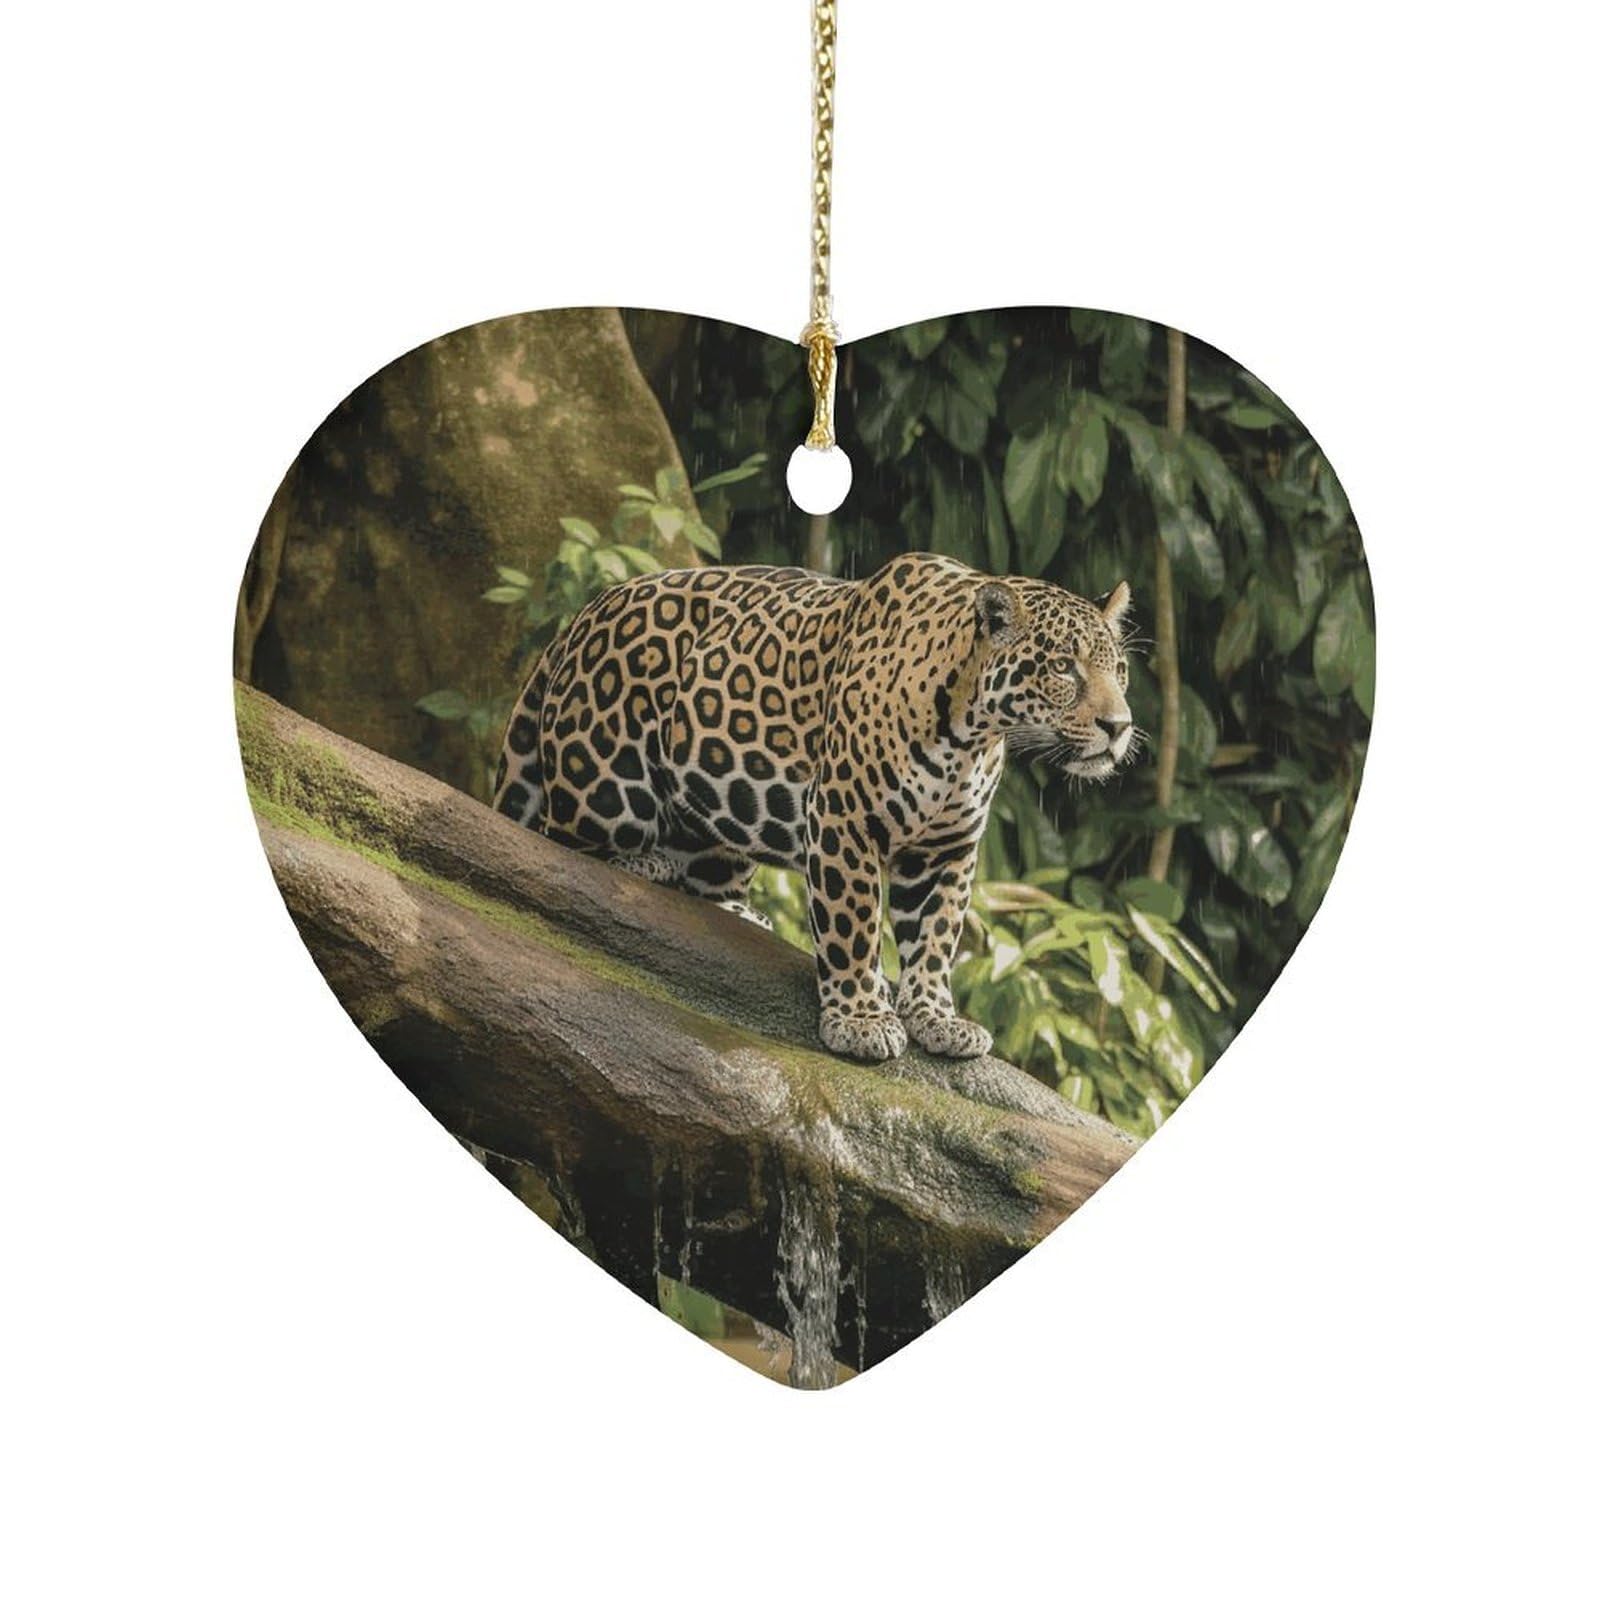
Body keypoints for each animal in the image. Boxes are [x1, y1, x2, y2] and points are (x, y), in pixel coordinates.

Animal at [492, 552, 1137, 1063]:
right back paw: (643, 864)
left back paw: (737, 911)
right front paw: (861, 1020)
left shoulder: (946, 849)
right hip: (608, 788)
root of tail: (583, 612)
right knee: (555, 837)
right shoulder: (844, 818)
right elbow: (854, 925)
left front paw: (936, 1018)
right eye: (1063, 668)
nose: (1119, 726)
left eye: (1121, 670)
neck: (970, 735)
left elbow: (935, 936)